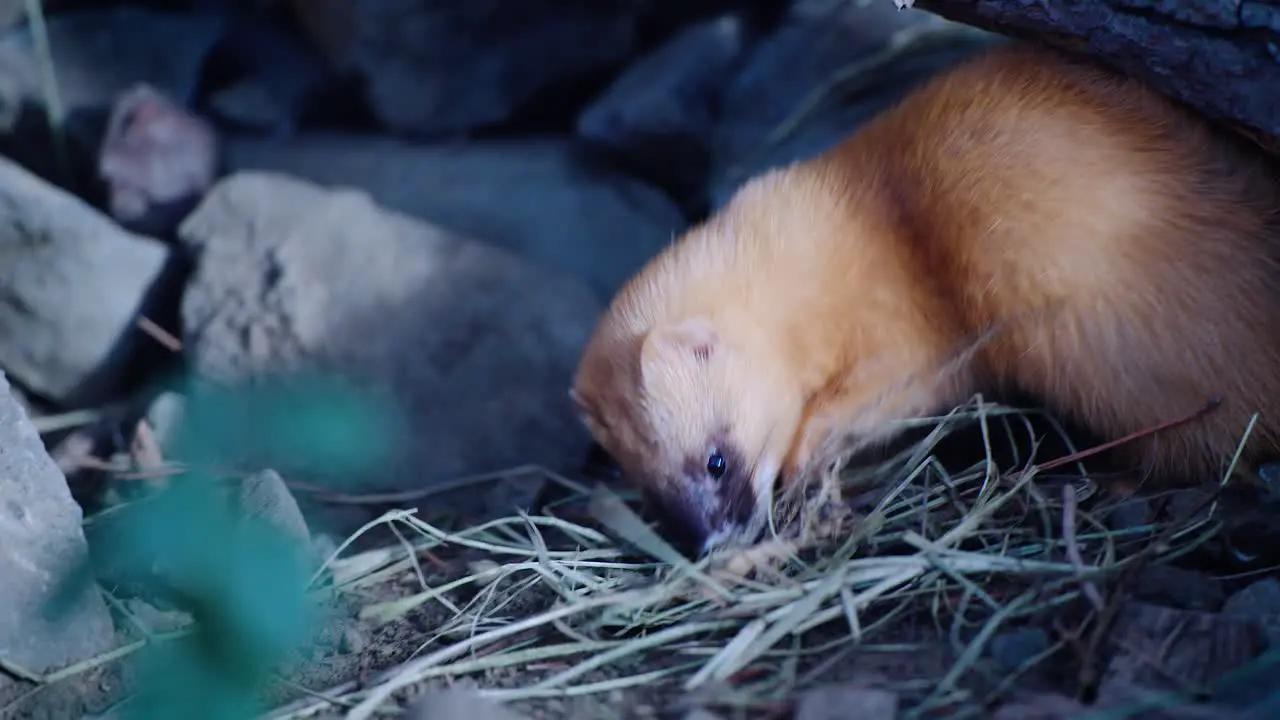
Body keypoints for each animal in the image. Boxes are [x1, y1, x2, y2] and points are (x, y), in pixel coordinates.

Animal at [576, 41, 1280, 550]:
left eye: (716, 459)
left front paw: (809, 448)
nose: (708, 540)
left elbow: (888, 390)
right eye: (649, 490)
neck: (868, 214)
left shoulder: (913, 333)